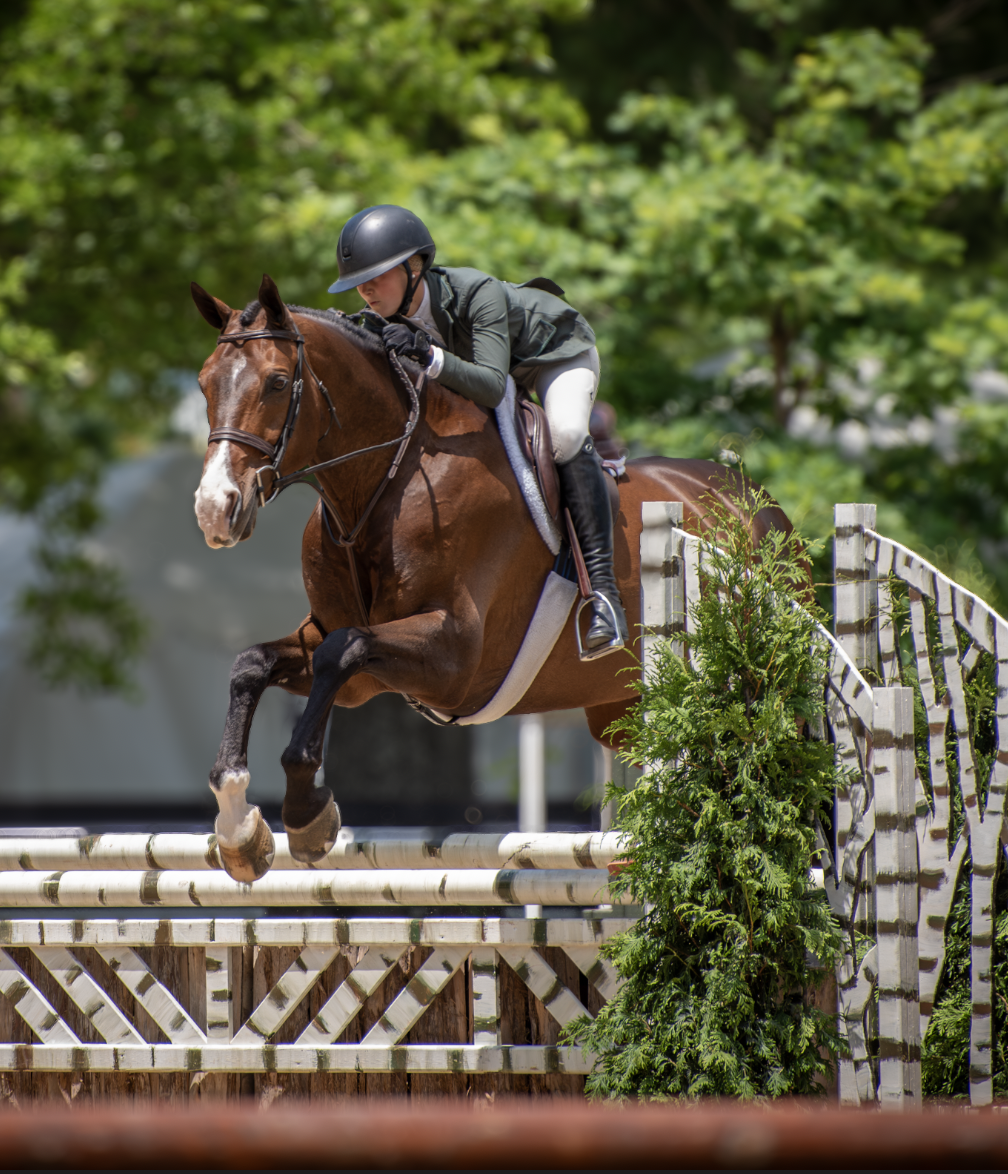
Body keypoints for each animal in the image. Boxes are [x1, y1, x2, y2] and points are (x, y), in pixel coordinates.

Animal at [190, 274, 794, 882]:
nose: (215, 509)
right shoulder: (351, 663)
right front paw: (240, 830)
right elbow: (254, 665)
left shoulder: (456, 657)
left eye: (277, 381)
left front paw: (307, 815)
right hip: (618, 711)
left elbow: (345, 650)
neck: (388, 478)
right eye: (204, 384)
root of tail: (753, 502)